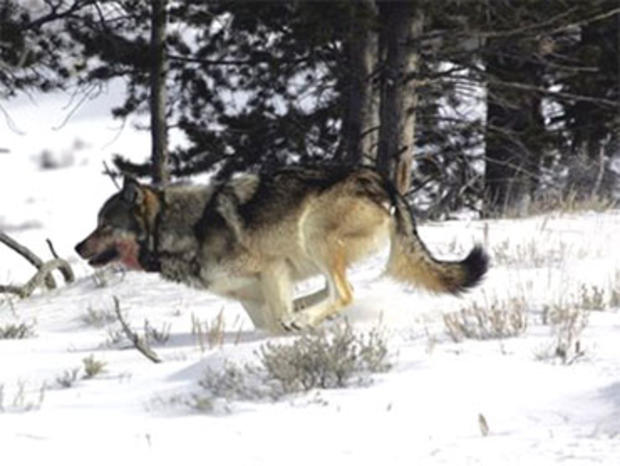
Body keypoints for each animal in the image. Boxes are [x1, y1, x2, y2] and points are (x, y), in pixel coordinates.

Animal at [75, 166, 486, 334]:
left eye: (104, 225)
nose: (77, 246)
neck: (178, 228)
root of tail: (380, 179)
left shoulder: (273, 267)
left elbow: (280, 315)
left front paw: (295, 324)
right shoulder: (252, 296)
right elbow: (269, 322)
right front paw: (292, 323)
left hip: (314, 234)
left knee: (345, 292)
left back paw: (304, 319)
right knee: (335, 290)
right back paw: (305, 315)